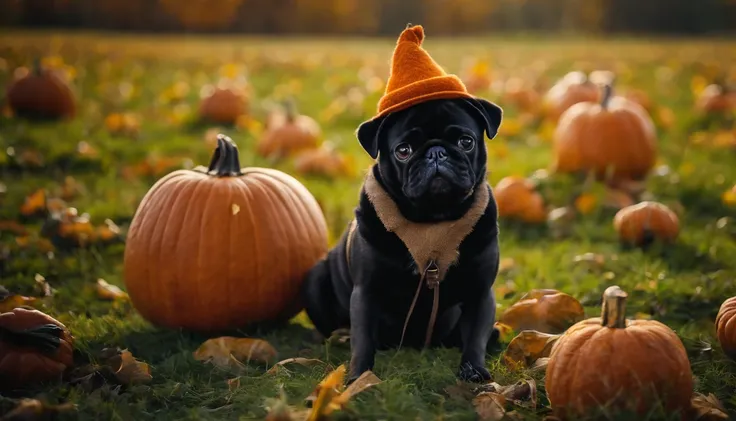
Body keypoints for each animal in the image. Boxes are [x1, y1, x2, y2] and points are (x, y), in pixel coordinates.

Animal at [302, 97, 504, 382]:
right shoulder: (367, 291)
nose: (436, 153)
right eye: (403, 151)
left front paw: (474, 370)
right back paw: (341, 337)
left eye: (466, 142)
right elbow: (363, 339)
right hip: (315, 279)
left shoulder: (480, 291)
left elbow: (476, 337)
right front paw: (359, 378)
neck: (432, 221)